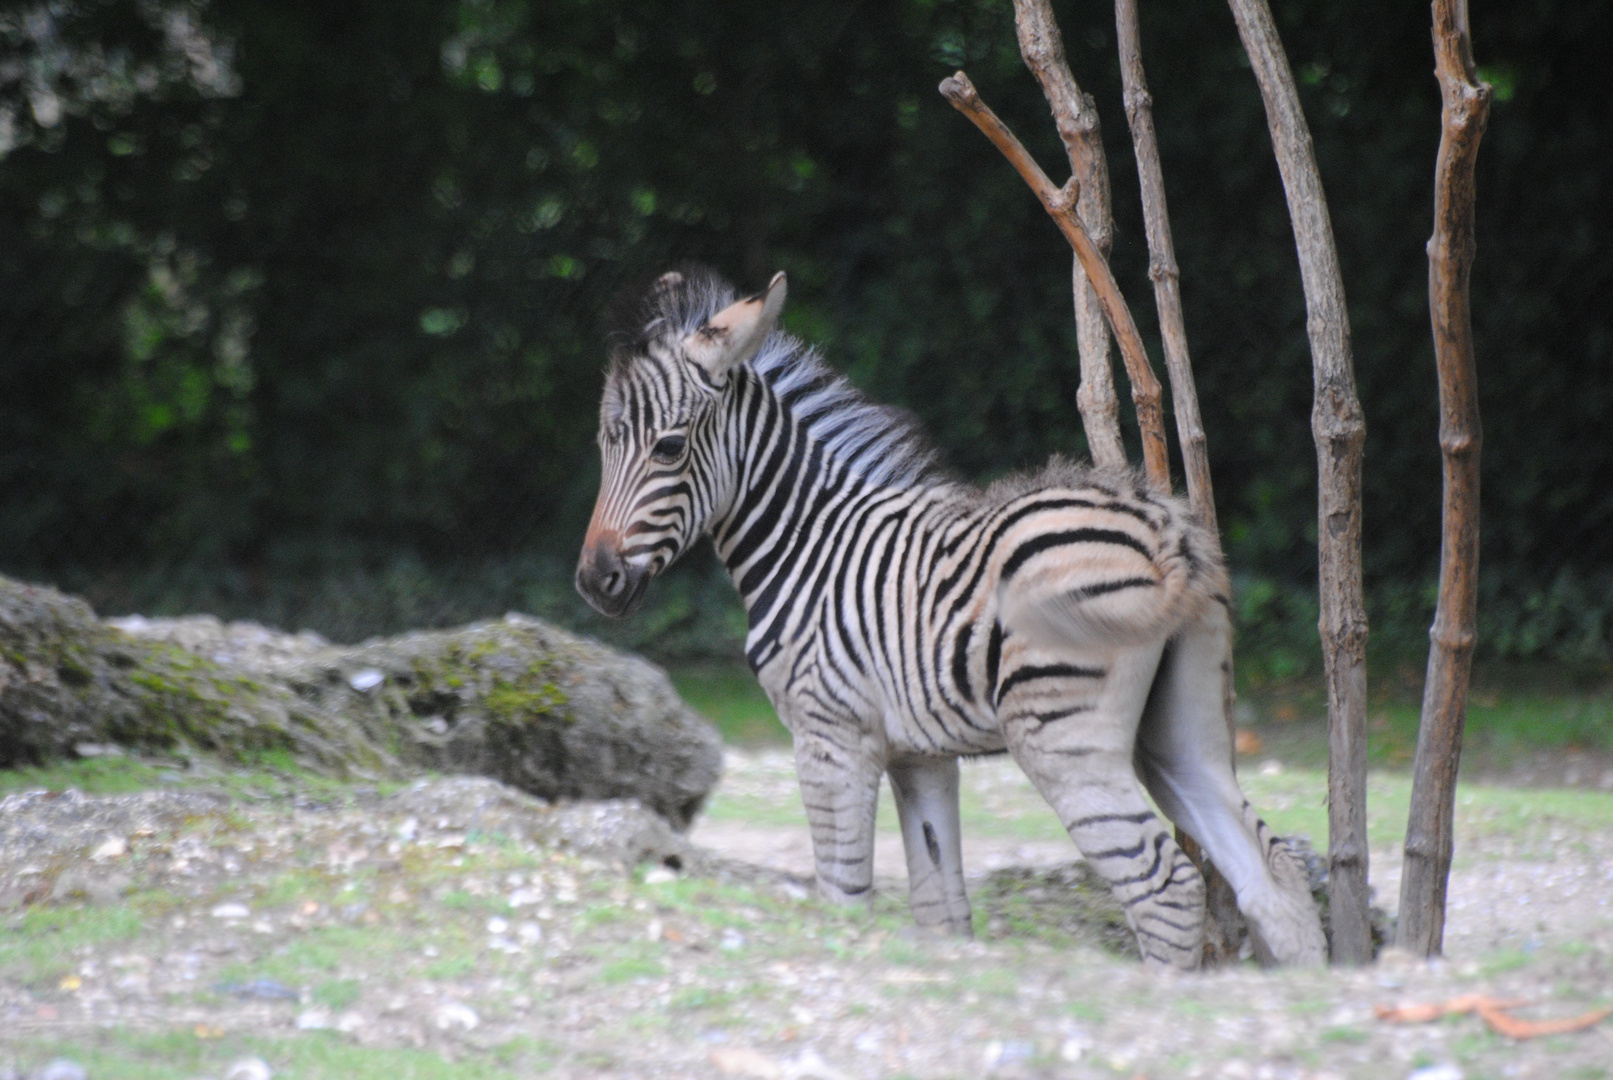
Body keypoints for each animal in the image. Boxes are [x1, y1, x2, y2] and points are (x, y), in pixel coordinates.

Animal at [577, 265, 1322, 967]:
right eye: (602, 445)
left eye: (668, 448)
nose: (594, 582)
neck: (810, 542)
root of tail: (1165, 530)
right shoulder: (921, 755)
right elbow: (941, 911)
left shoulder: (831, 736)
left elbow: (843, 897)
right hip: (1183, 731)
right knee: (1273, 875)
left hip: (1061, 736)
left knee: (1162, 886)